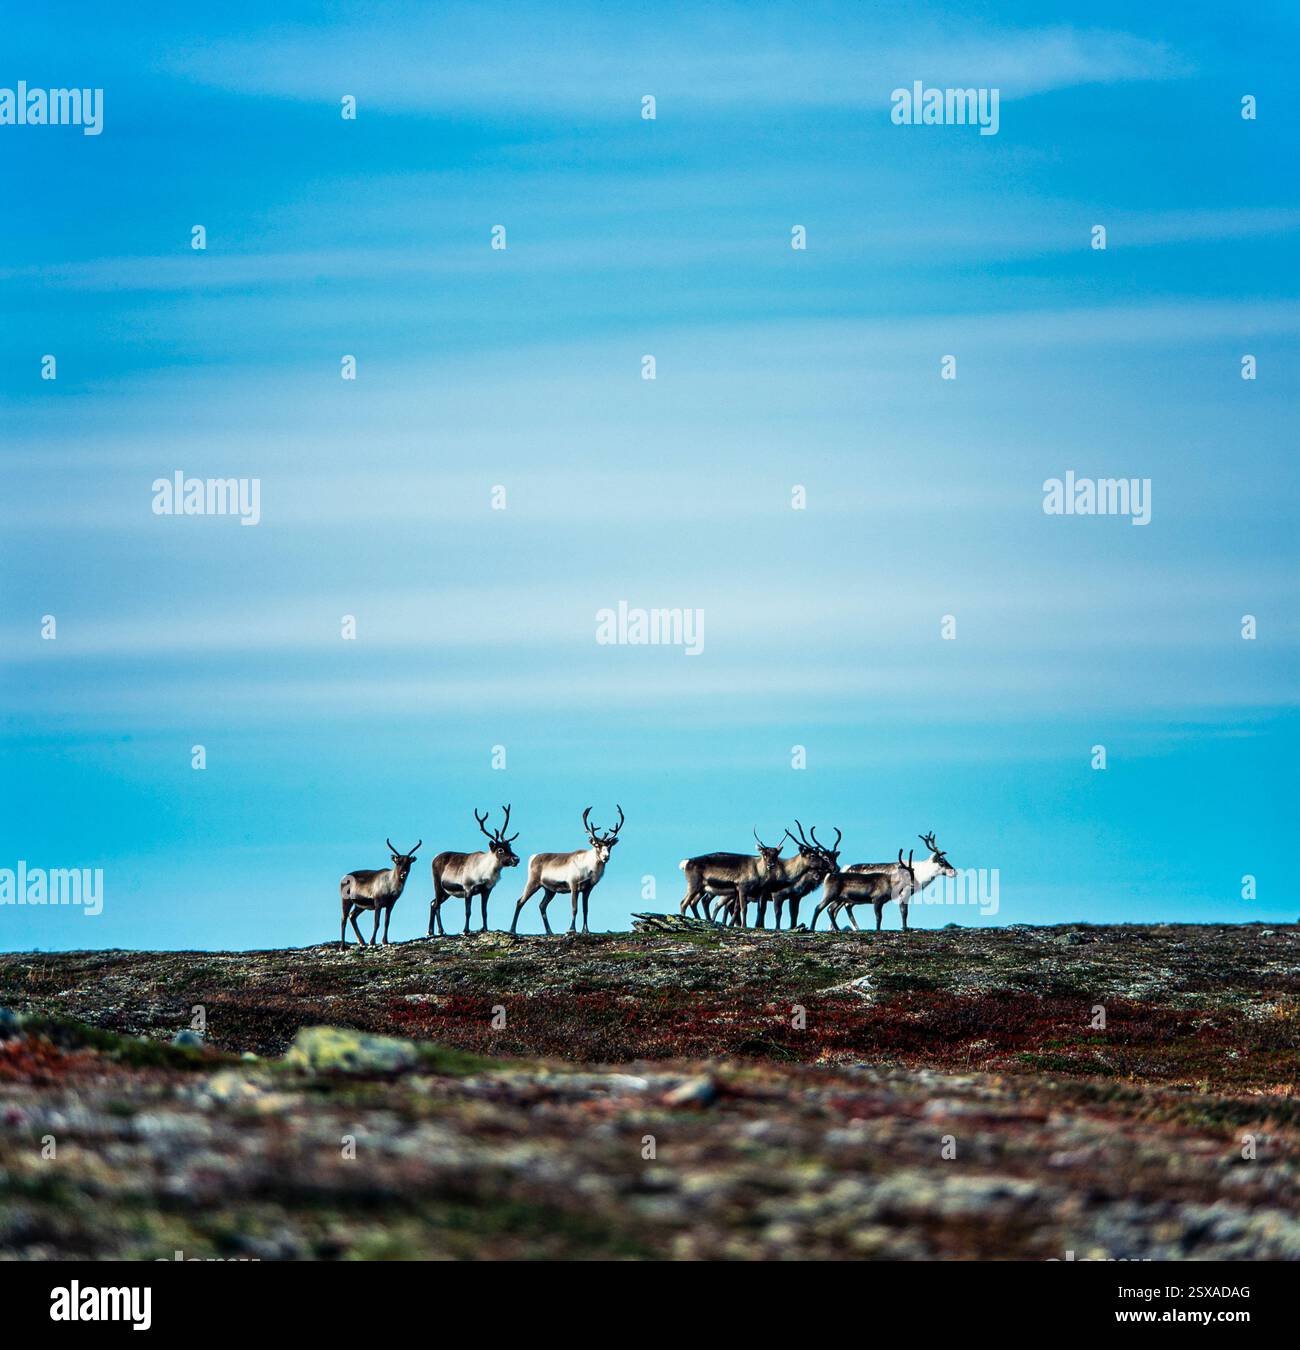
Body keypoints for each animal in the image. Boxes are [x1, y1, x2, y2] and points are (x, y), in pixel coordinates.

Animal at [428, 805, 521, 936]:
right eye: (500, 850)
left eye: (510, 847)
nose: (516, 859)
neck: (485, 872)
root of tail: (434, 858)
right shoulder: (468, 888)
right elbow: (468, 911)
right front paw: (466, 930)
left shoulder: (486, 890)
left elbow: (484, 911)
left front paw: (485, 928)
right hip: (438, 884)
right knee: (436, 905)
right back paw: (441, 931)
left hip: (446, 892)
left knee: (432, 903)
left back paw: (430, 932)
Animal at [509, 806, 624, 936]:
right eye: (597, 845)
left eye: (609, 846)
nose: (606, 857)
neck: (589, 867)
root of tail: (533, 857)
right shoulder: (574, 884)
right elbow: (574, 908)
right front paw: (571, 929)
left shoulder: (588, 888)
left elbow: (586, 909)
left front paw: (586, 930)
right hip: (533, 882)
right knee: (520, 901)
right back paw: (512, 929)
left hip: (549, 890)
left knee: (542, 905)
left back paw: (549, 931)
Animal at [813, 831, 956, 932]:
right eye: (942, 860)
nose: (954, 872)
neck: (919, 874)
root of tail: (844, 868)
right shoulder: (904, 893)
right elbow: (904, 911)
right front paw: (905, 928)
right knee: (839, 908)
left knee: (839, 908)